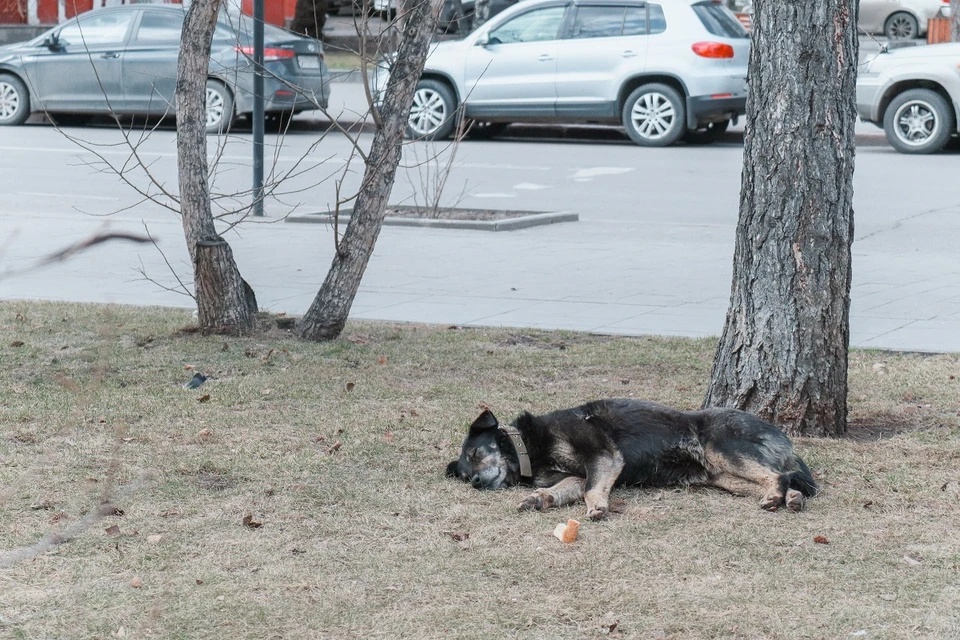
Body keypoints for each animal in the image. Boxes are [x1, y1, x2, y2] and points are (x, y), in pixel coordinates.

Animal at [448, 400, 816, 520]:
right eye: (465, 474)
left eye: (476, 454)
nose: (476, 482)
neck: (528, 447)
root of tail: (781, 435)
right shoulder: (580, 473)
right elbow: (566, 489)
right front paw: (539, 499)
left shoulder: (604, 457)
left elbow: (590, 490)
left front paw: (597, 506)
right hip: (724, 477)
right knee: (781, 478)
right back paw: (790, 498)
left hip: (721, 448)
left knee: (778, 475)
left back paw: (777, 497)